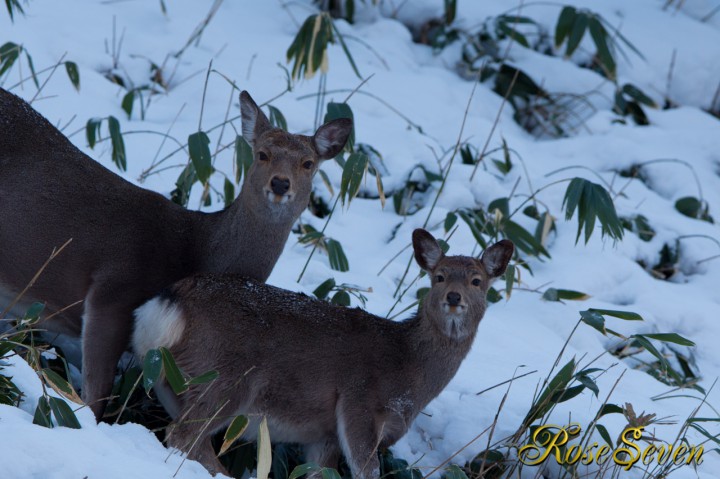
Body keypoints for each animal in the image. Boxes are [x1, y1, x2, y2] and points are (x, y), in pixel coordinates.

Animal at [0, 88, 352, 422]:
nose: (280, 184)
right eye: (262, 154)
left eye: (308, 164)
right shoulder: (113, 293)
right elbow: (94, 399)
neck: (194, 249)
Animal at [129, 231, 512, 478]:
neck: (409, 371)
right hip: (225, 378)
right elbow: (367, 470)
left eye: (477, 281)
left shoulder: (323, 433)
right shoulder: (359, 402)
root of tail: (169, 304)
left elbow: (318, 472)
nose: (453, 297)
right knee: (183, 437)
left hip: (174, 382)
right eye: (439, 276)